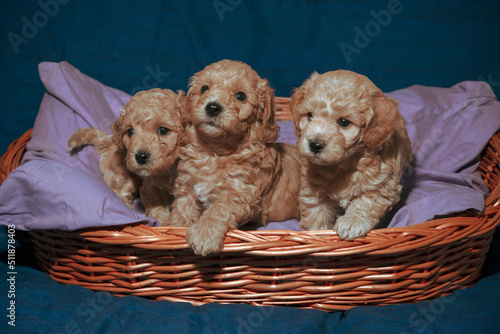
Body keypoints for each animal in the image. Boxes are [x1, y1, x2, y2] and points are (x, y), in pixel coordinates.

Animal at [68, 88, 186, 224]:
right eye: (130, 132)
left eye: (163, 130)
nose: (140, 156)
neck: (169, 169)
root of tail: (108, 143)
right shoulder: (151, 187)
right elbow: (158, 206)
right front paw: (162, 222)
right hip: (123, 176)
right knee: (119, 193)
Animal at [168, 59, 300, 256]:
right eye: (204, 88)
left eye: (240, 96)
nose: (212, 107)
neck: (215, 153)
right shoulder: (187, 187)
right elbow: (182, 209)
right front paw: (173, 227)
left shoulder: (244, 194)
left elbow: (220, 207)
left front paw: (203, 234)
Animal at [292, 70, 412, 240]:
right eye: (309, 115)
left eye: (344, 122)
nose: (314, 145)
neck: (343, 165)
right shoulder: (313, 186)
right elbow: (316, 213)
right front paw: (317, 234)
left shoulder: (382, 184)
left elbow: (366, 202)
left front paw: (351, 222)